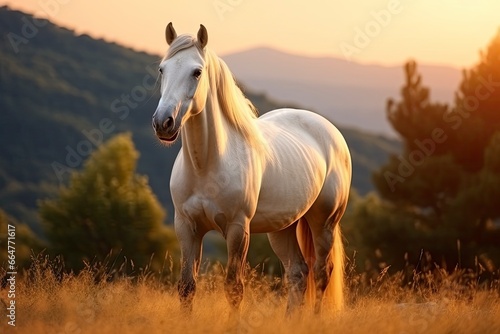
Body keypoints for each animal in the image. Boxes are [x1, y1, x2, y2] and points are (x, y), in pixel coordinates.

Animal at [152, 23, 352, 316]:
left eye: (197, 72)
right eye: (162, 69)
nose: (163, 123)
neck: (206, 166)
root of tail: (329, 130)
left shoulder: (238, 230)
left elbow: (234, 289)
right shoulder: (186, 227)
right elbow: (187, 288)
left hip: (324, 222)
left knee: (322, 273)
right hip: (283, 228)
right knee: (298, 273)